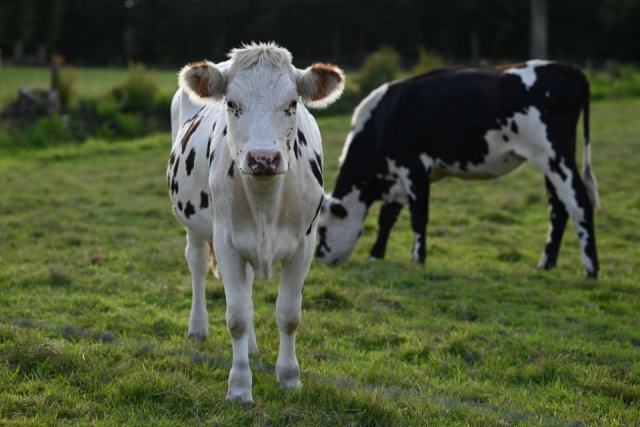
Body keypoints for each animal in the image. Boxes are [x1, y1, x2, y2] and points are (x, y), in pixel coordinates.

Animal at [167, 43, 344, 402]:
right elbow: (237, 316)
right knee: (197, 264)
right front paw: (239, 386)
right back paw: (198, 327)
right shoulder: (226, 242)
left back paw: (250, 347)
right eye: (232, 104)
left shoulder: (304, 245)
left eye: (292, 104)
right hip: (194, 224)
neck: (266, 201)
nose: (264, 158)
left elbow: (289, 315)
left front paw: (289, 377)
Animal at [316, 60, 600, 278]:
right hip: (548, 162)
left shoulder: (414, 169)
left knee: (580, 203)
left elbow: (418, 216)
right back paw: (546, 264)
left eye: (321, 229)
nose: (318, 257)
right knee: (559, 209)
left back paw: (591, 269)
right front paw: (377, 255)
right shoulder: (395, 176)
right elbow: (387, 217)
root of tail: (563, 67)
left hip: (555, 155)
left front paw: (417, 259)